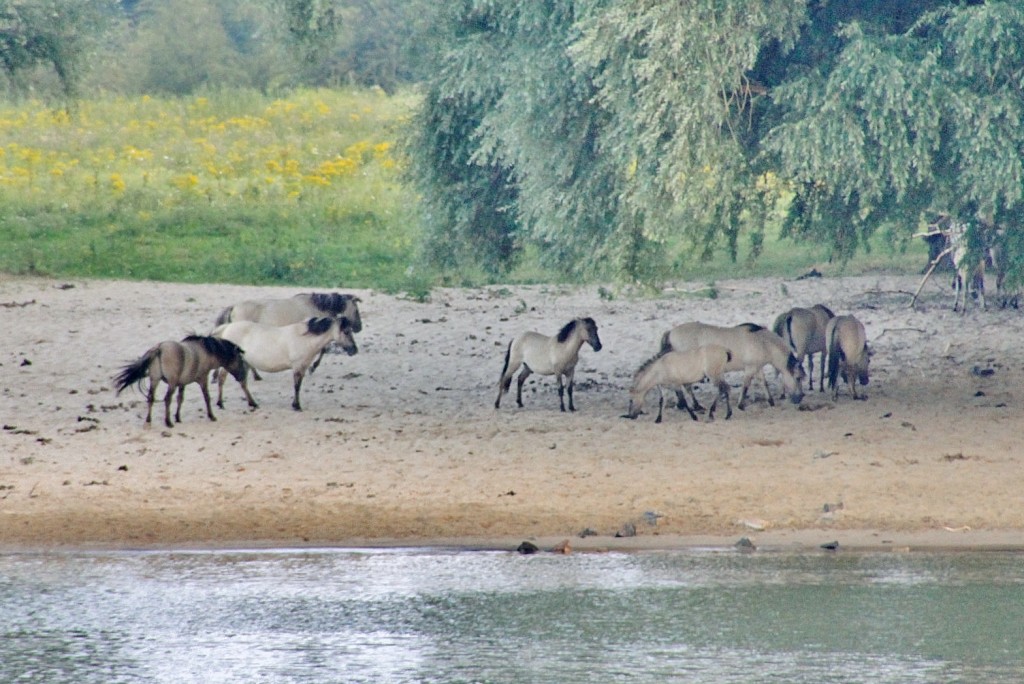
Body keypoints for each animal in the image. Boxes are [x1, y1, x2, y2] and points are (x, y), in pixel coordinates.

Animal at [112, 335, 251, 428]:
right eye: (240, 359)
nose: (242, 376)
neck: (206, 351)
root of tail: (159, 349)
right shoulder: (202, 379)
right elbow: (206, 397)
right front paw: (211, 416)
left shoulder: (182, 383)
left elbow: (180, 399)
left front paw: (178, 417)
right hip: (171, 383)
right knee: (167, 399)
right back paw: (168, 422)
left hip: (155, 380)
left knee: (151, 398)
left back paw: (148, 420)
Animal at [210, 317, 356, 411]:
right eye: (346, 331)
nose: (354, 350)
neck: (306, 339)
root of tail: (226, 327)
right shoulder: (298, 367)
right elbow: (297, 386)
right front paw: (297, 406)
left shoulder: (303, 367)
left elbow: (298, 385)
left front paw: (295, 404)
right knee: (222, 379)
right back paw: (220, 403)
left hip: (244, 362)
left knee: (242, 382)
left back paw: (253, 403)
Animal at [663, 321, 806, 411]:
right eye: (798, 378)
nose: (800, 397)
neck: (763, 342)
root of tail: (672, 332)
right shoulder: (750, 369)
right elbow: (746, 385)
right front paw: (740, 405)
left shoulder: (757, 368)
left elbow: (764, 383)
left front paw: (771, 402)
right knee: (687, 386)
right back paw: (696, 406)